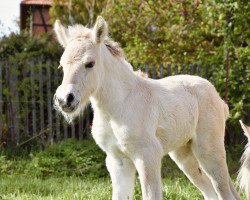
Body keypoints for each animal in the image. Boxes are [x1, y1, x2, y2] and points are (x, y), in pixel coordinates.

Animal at [53, 16, 240, 199]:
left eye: (90, 63)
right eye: (61, 65)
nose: (64, 99)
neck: (119, 106)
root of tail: (218, 98)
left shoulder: (147, 156)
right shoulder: (117, 161)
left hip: (209, 151)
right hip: (184, 155)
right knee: (211, 192)